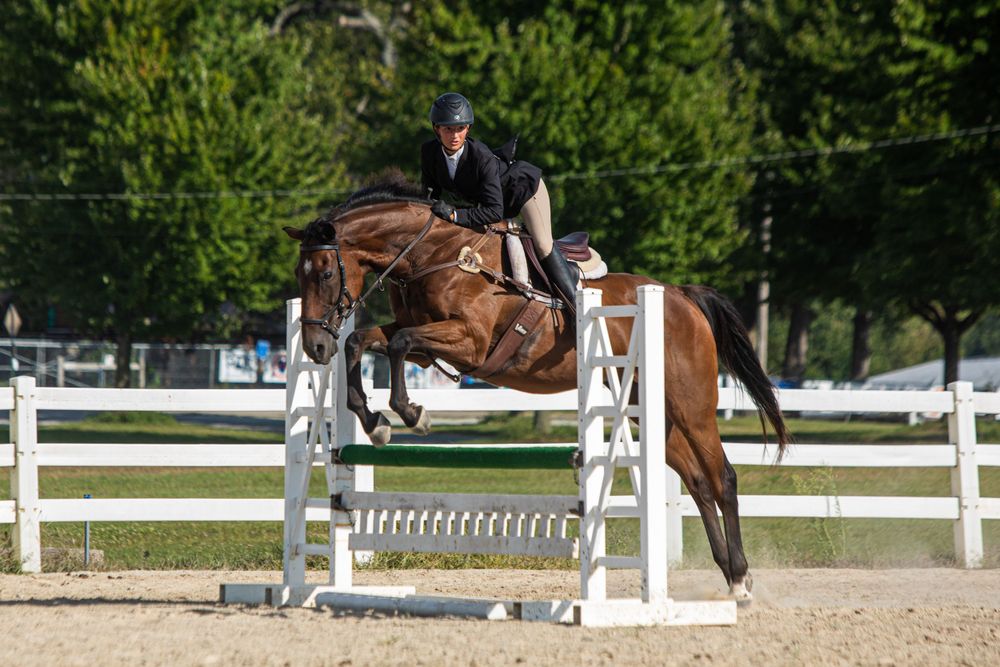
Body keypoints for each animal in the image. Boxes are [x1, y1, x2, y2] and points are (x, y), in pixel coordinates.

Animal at [283, 175, 791, 603]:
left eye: (325, 273)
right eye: (298, 276)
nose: (314, 346)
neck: (431, 253)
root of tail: (682, 296)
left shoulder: (469, 342)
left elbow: (398, 344)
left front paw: (410, 413)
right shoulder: (428, 346)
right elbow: (363, 342)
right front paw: (374, 420)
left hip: (691, 405)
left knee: (723, 477)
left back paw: (741, 580)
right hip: (649, 412)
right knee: (700, 483)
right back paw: (730, 575)